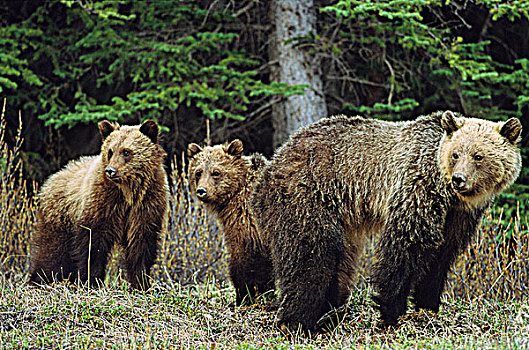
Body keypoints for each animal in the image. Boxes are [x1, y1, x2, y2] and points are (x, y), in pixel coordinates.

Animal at [29, 120, 169, 290]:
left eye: (126, 151)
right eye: (110, 151)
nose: (110, 170)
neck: (128, 191)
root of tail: (53, 177)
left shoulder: (146, 204)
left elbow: (141, 244)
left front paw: (141, 282)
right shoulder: (102, 203)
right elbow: (94, 242)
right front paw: (92, 281)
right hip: (60, 216)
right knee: (52, 250)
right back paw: (39, 279)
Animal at [250, 110, 520, 332]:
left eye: (478, 156)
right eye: (456, 154)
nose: (459, 179)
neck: (448, 194)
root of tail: (276, 159)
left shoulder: (459, 216)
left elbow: (442, 255)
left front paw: (428, 305)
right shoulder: (416, 188)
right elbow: (405, 246)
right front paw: (390, 311)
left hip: (341, 217)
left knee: (339, 260)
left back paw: (330, 311)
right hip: (308, 193)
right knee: (311, 254)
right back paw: (297, 320)